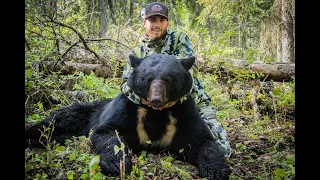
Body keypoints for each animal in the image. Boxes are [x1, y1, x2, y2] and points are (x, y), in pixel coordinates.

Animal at [25, 53, 230, 180]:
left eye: (168, 79)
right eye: (148, 78)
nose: (156, 99)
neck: (157, 113)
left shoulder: (183, 114)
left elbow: (202, 141)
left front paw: (217, 170)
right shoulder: (127, 109)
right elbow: (107, 132)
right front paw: (117, 165)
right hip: (82, 113)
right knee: (56, 121)